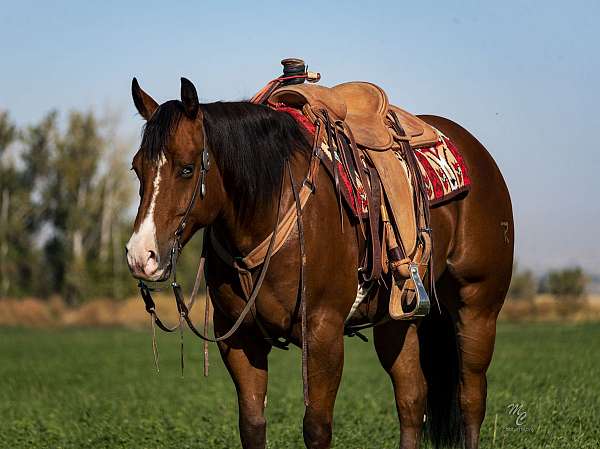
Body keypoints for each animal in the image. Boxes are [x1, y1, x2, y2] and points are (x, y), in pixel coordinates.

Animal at [125, 78, 510, 448]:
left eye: (187, 169)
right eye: (136, 168)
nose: (141, 256)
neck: (272, 207)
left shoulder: (323, 333)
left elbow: (316, 428)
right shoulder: (239, 338)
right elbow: (252, 426)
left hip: (477, 309)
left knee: (471, 399)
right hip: (397, 322)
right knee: (412, 400)